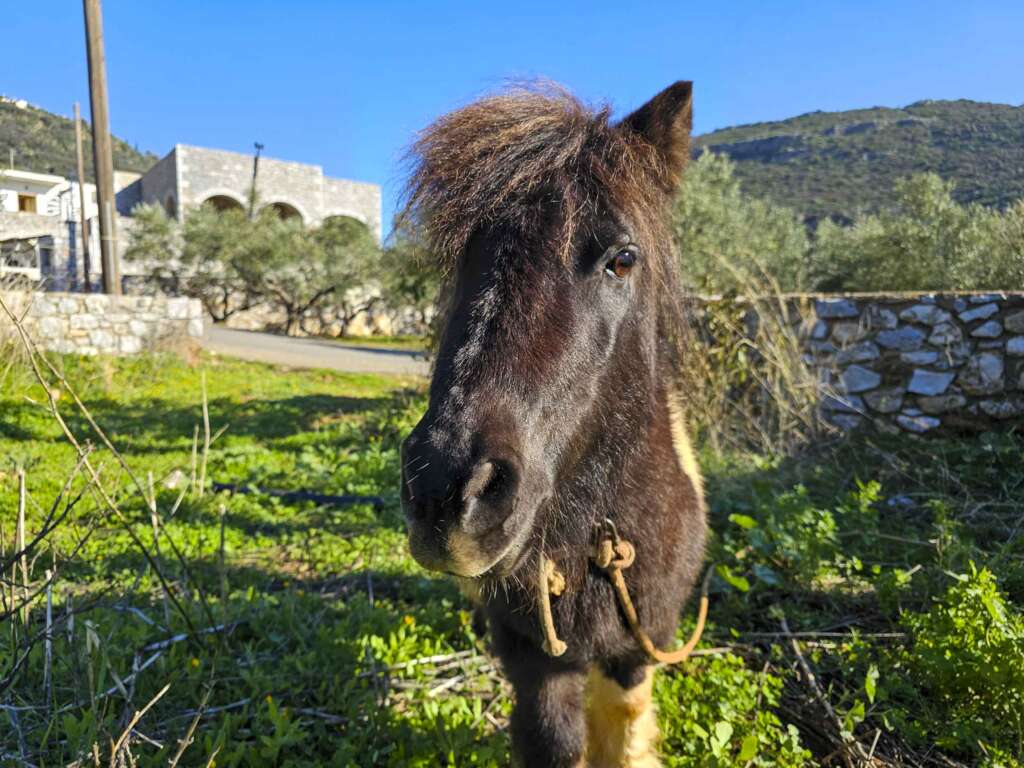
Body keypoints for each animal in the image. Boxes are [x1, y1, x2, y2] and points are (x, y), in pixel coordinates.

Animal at [397, 81, 704, 765]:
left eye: (623, 258)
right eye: (461, 256)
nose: (446, 494)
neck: (594, 540)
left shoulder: (634, 649)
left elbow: (624, 732)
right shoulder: (534, 656)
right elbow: (554, 741)